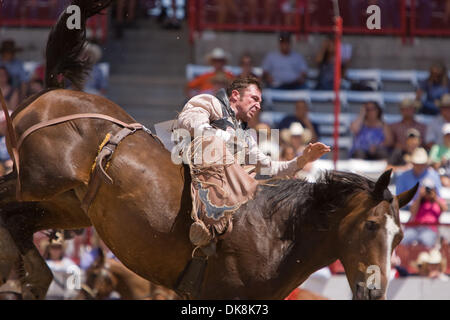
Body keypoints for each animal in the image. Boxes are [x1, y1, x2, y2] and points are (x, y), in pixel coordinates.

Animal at [0, 0, 418, 300]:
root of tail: (54, 90)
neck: (277, 233)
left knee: (19, 224)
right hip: (36, 179)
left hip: (66, 204)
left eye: (399, 237)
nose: (375, 291)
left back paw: (25, 277)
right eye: (370, 225)